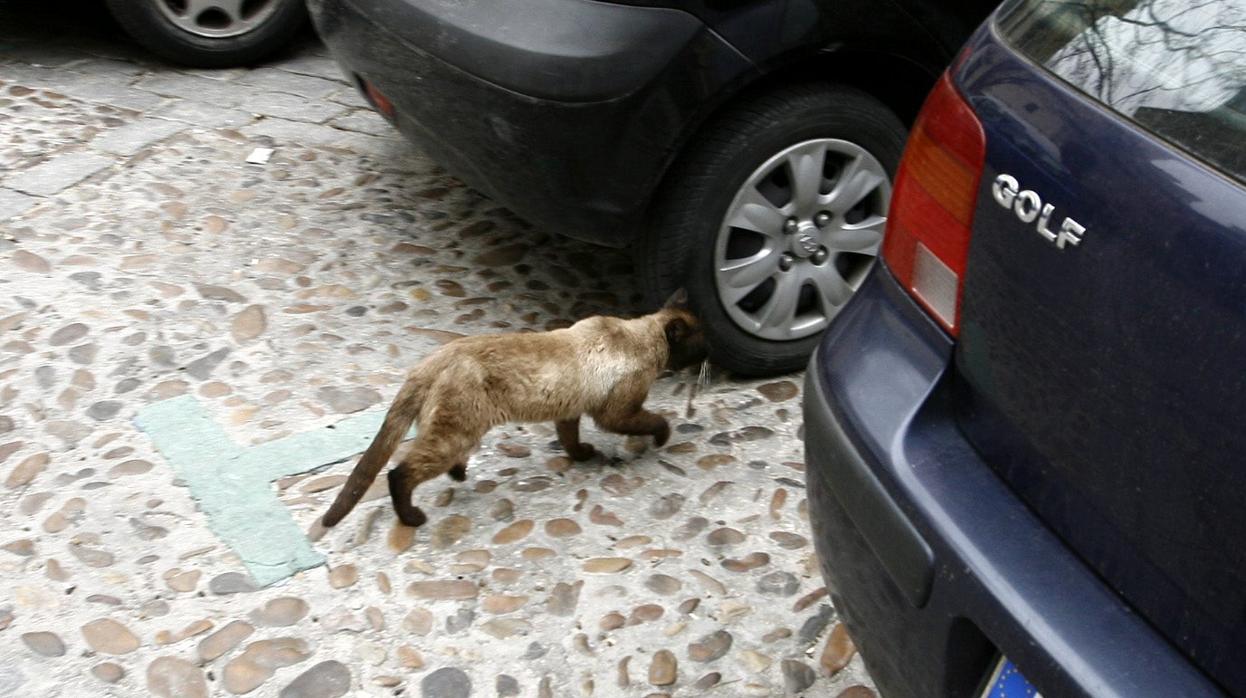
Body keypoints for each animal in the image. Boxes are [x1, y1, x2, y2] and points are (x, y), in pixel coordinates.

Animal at [321, 292, 707, 528]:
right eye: (703, 344)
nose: (713, 355)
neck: (641, 337)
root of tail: (430, 362)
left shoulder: (570, 410)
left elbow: (570, 439)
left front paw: (583, 456)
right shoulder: (616, 412)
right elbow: (656, 421)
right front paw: (661, 439)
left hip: (460, 432)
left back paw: (459, 475)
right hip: (454, 436)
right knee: (399, 474)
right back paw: (414, 518)